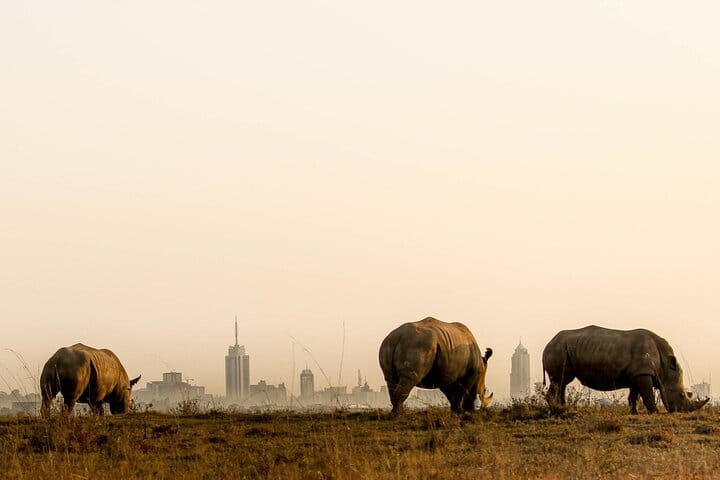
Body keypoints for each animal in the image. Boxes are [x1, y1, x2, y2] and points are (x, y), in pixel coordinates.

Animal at [542, 325, 708, 414]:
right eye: (681, 395)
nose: (682, 412)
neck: (665, 367)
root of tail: (548, 343)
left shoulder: (636, 373)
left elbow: (633, 395)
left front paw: (634, 413)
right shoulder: (643, 372)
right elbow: (647, 395)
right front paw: (655, 413)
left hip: (564, 349)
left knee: (562, 382)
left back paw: (564, 408)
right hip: (558, 349)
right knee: (560, 381)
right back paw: (555, 409)